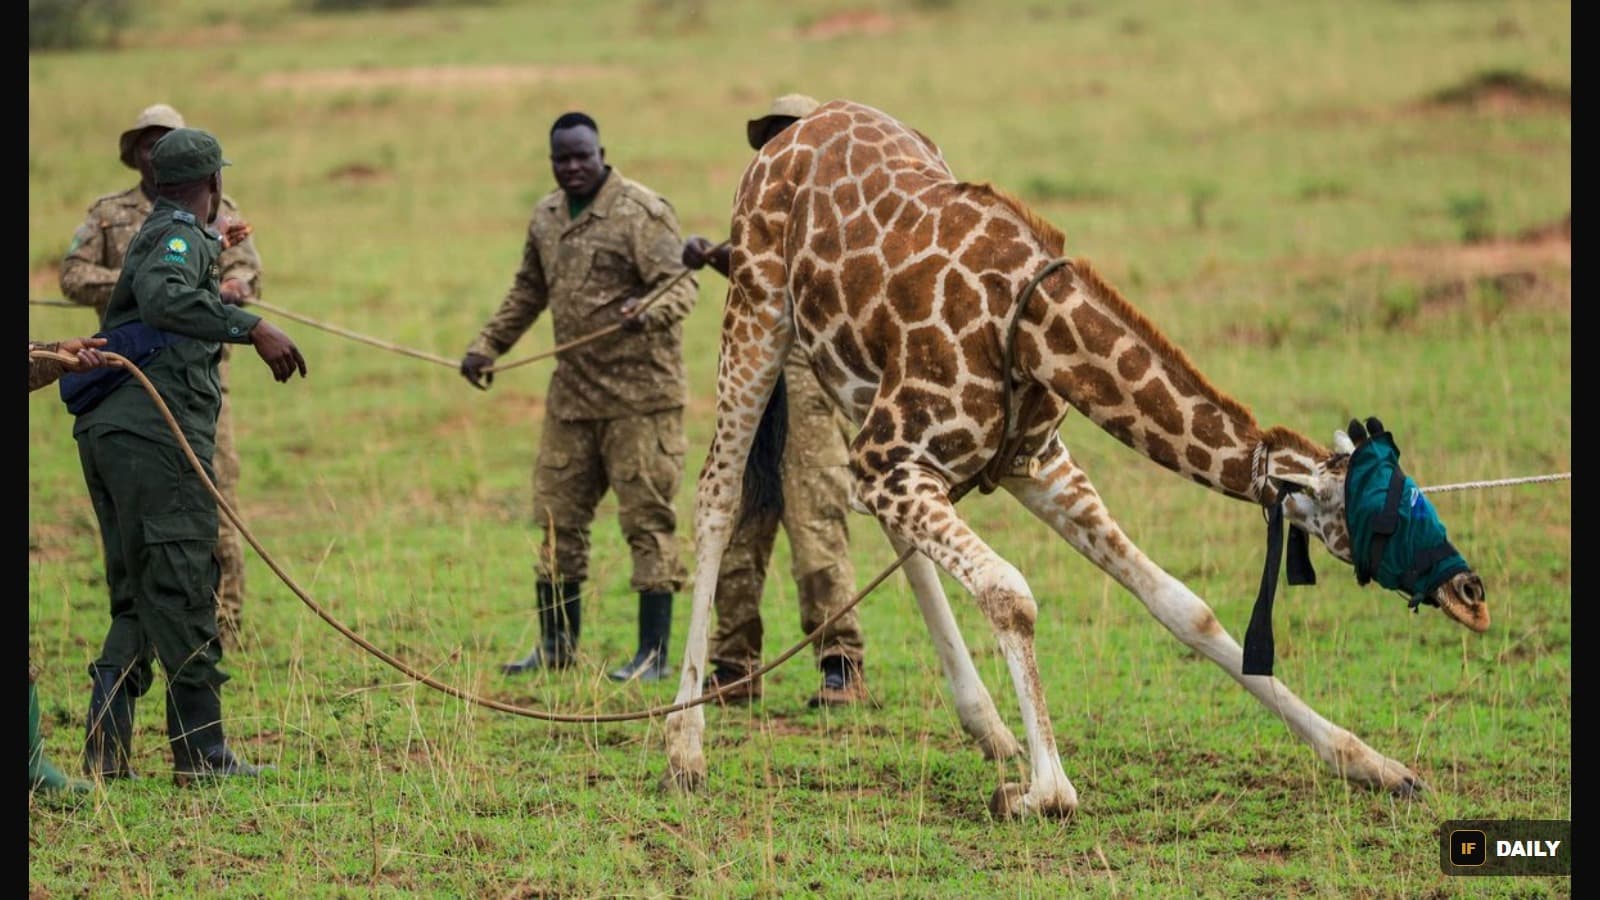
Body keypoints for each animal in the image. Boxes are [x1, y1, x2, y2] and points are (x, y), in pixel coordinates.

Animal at [662, 99, 1489, 819]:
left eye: (1416, 490)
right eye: (1386, 517)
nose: (1472, 596)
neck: (1035, 330)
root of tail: (789, 128)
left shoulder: (1033, 465)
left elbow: (1184, 606)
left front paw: (1375, 765)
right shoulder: (896, 458)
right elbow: (1010, 592)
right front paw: (1043, 791)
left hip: (850, 380)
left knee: (884, 526)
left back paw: (988, 727)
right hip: (758, 314)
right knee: (715, 498)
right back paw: (684, 745)